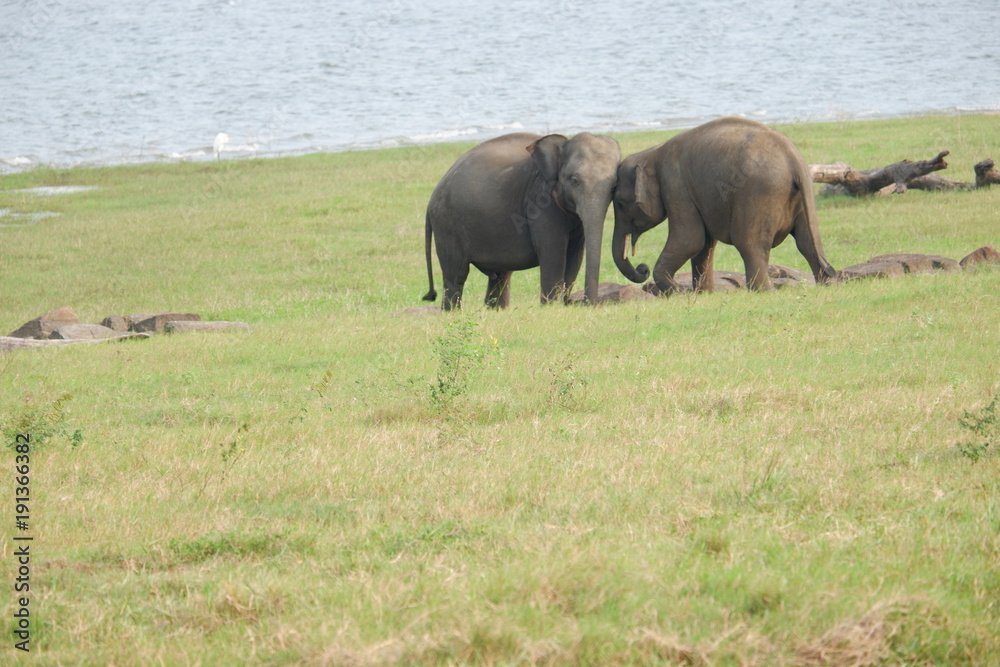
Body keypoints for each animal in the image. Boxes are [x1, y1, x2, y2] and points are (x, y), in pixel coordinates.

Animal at [423, 132, 620, 309]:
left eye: (613, 187)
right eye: (575, 181)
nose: (584, 304)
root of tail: (433, 196)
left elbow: (575, 256)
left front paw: (563, 305)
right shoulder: (540, 202)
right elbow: (553, 252)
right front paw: (550, 309)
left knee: (500, 276)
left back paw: (496, 310)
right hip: (447, 225)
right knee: (456, 274)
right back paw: (453, 312)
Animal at [612, 117, 838, 293]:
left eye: (621, 204)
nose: (642, 268)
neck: (653, 153)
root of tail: (793, 159)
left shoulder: (675, 187)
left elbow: (690, 239)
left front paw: (678, 292)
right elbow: (703, 243)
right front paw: (703, 294)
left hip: (759, 193)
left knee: (749, 243)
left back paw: (761, 291)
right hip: (800, 195)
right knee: (807, 241)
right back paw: (826, 284)